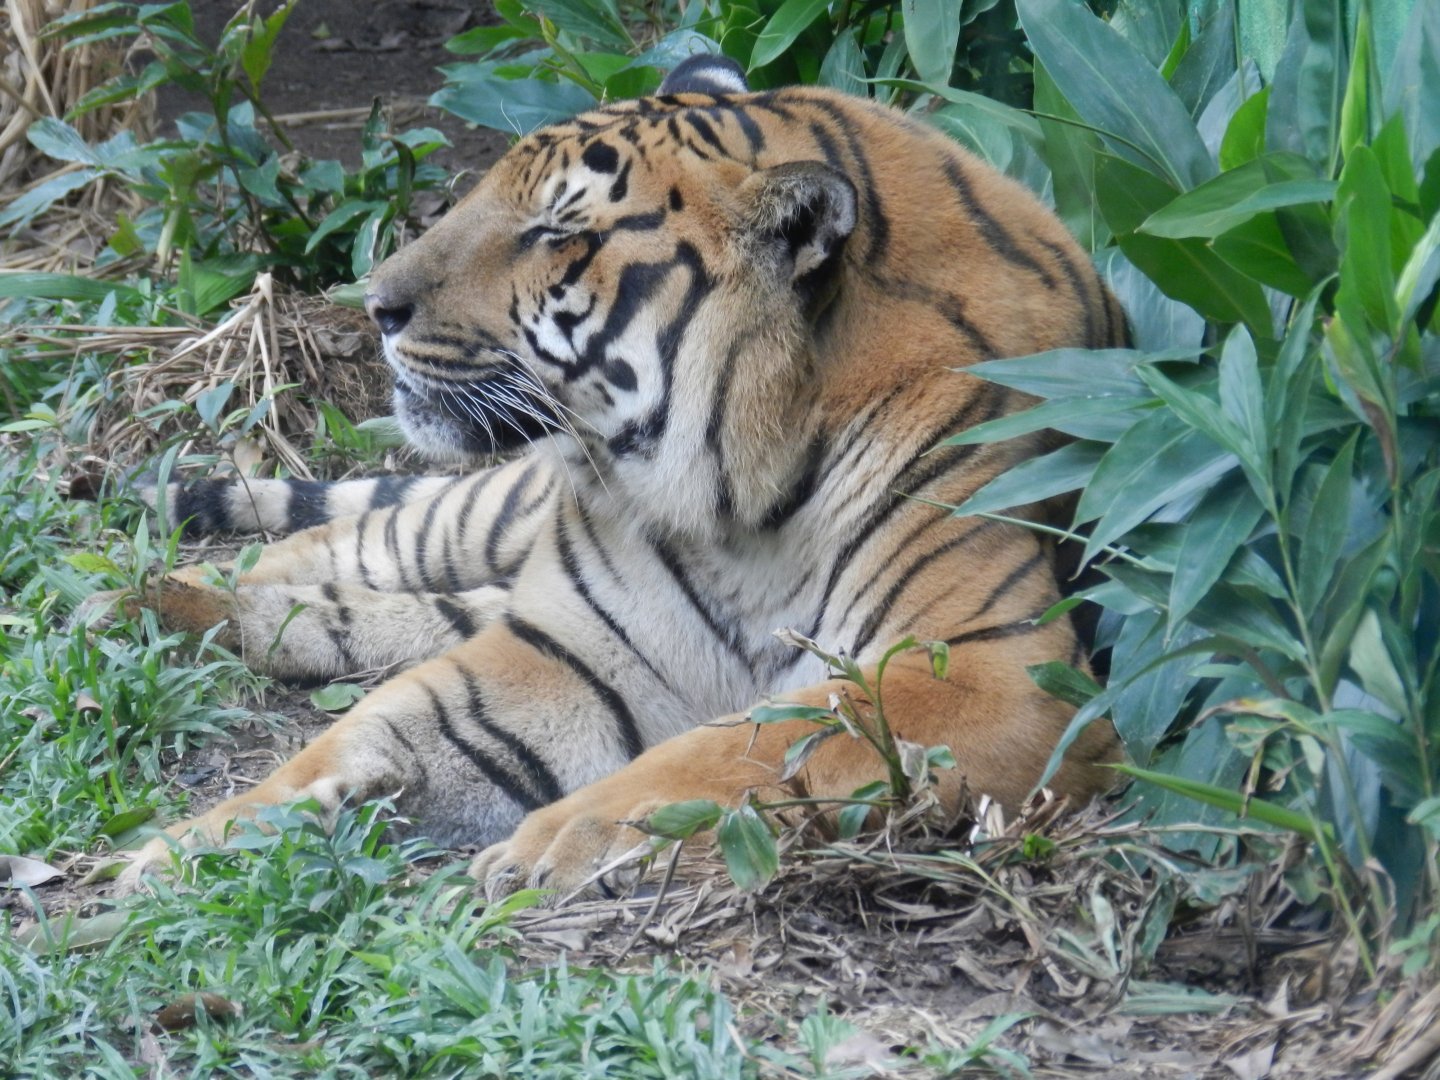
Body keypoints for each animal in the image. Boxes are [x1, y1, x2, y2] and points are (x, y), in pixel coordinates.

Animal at [105, 54, 1124, 898]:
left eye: (555, 231)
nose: (376, 304)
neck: (740, 507)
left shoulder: (995, 669)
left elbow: (749, 742)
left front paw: (555, 841)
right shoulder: (575, 645)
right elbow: (375, 728)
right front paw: (191, 850)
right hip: (486, 513)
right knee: (348, 541)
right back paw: (139, 600)